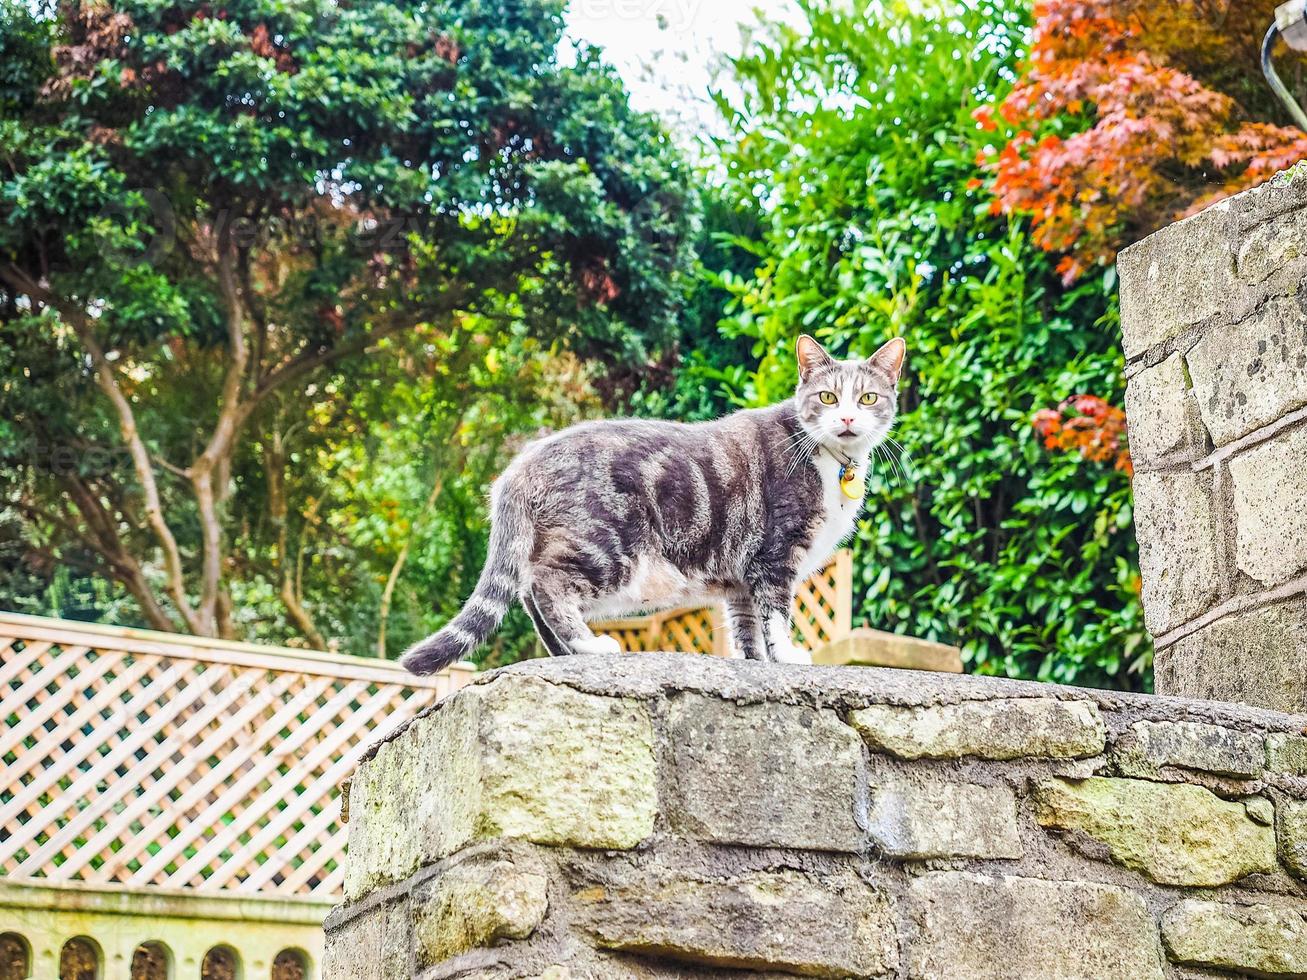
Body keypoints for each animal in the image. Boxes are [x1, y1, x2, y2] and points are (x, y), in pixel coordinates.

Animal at [402, 337, 904, 674]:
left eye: (868, 397)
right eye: (827, 397)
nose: (847, 417)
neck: (832, 461)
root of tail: (521, 465)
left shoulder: (742, 579)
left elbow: (746, 627)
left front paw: (755, 663)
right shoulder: (776, 554)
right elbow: (776, 616)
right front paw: (788, 655)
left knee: (528, 592)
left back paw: (566, 652)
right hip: (608, 547)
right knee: (546, 585)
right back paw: (589, 646)